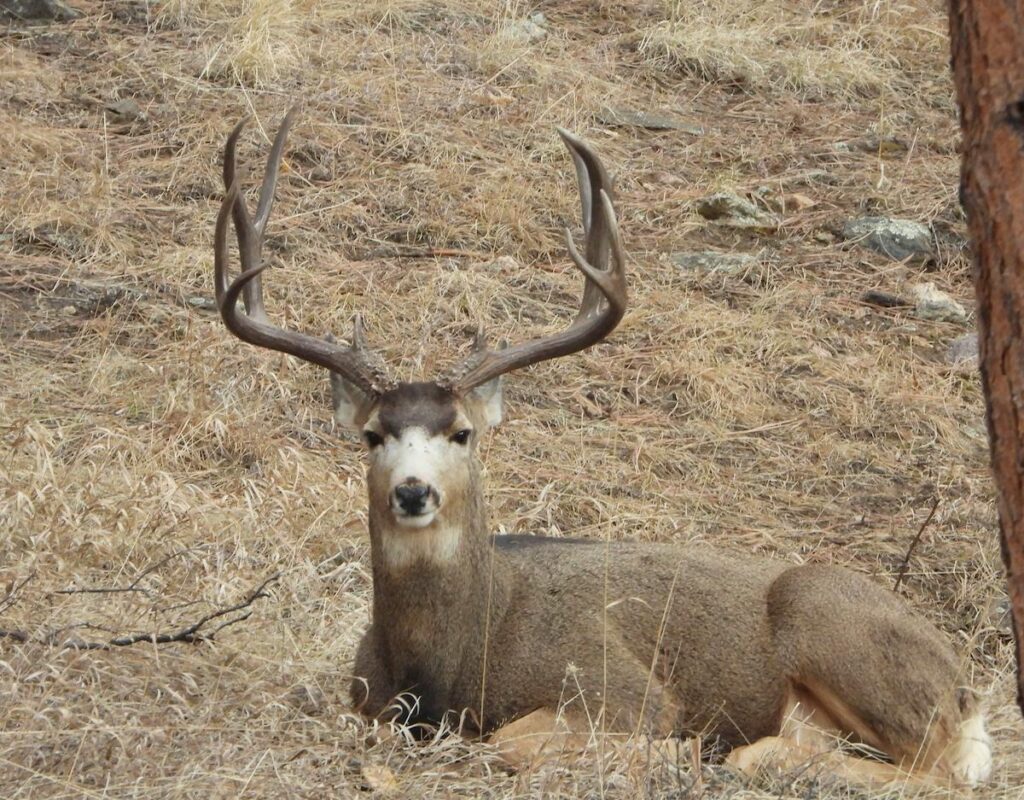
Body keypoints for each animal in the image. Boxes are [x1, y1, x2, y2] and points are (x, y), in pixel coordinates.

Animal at [212, 109, 993, 789]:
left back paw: (751, 755)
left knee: (943, 772)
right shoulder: (363, 700)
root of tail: (965, 686)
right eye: (373, 435)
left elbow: (511, 740)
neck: (451, 661)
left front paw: (674, 752)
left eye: (462, 432)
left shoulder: (619, 687)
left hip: (828, 621)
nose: (412, 491)